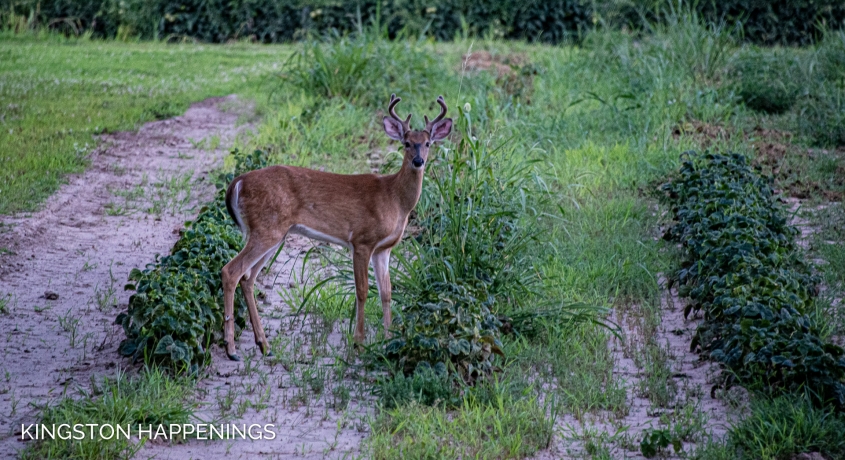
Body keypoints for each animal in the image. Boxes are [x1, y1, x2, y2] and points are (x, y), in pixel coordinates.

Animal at [221, 92, 452, 360]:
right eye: (406, 143)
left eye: (428, 143)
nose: (418, 161)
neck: (394, 198)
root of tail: (238, 182)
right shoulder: (361, 240)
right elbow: (362, 290)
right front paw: (359, 343)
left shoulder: (384, 249)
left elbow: (386, 292)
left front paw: (388, 340)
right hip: (266, 229)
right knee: (231, 271)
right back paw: (231, 349)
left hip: (273, 234)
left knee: (248, 278)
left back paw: (263, 344)